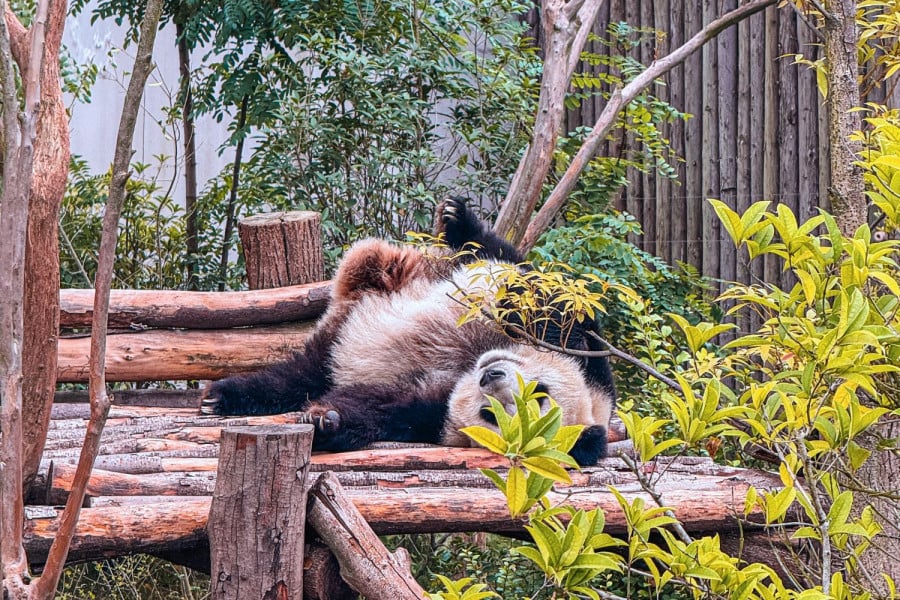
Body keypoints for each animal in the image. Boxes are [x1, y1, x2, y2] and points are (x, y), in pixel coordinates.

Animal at [201, 198, 616, 465]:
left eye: (491, 416)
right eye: (541, 391)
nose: (490, 376)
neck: (464, 366)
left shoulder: (431, 415)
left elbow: (381, 407)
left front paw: (325, 421)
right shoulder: (585, 349)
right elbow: (547, 303)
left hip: (333, 351)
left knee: (302, 376)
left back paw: (229, 397)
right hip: (405, 274)